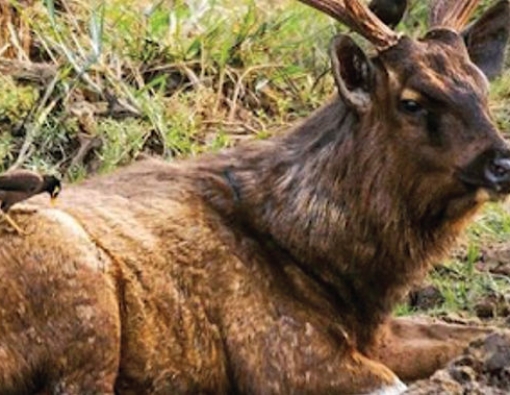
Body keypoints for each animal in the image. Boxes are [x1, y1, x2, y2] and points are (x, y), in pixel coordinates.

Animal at [0, 0, 510, 394]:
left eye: (483, 90)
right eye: (411, 101)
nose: (501, 161)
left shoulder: (378, 334)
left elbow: (486, 334)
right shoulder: (279, 353)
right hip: (84, 298)